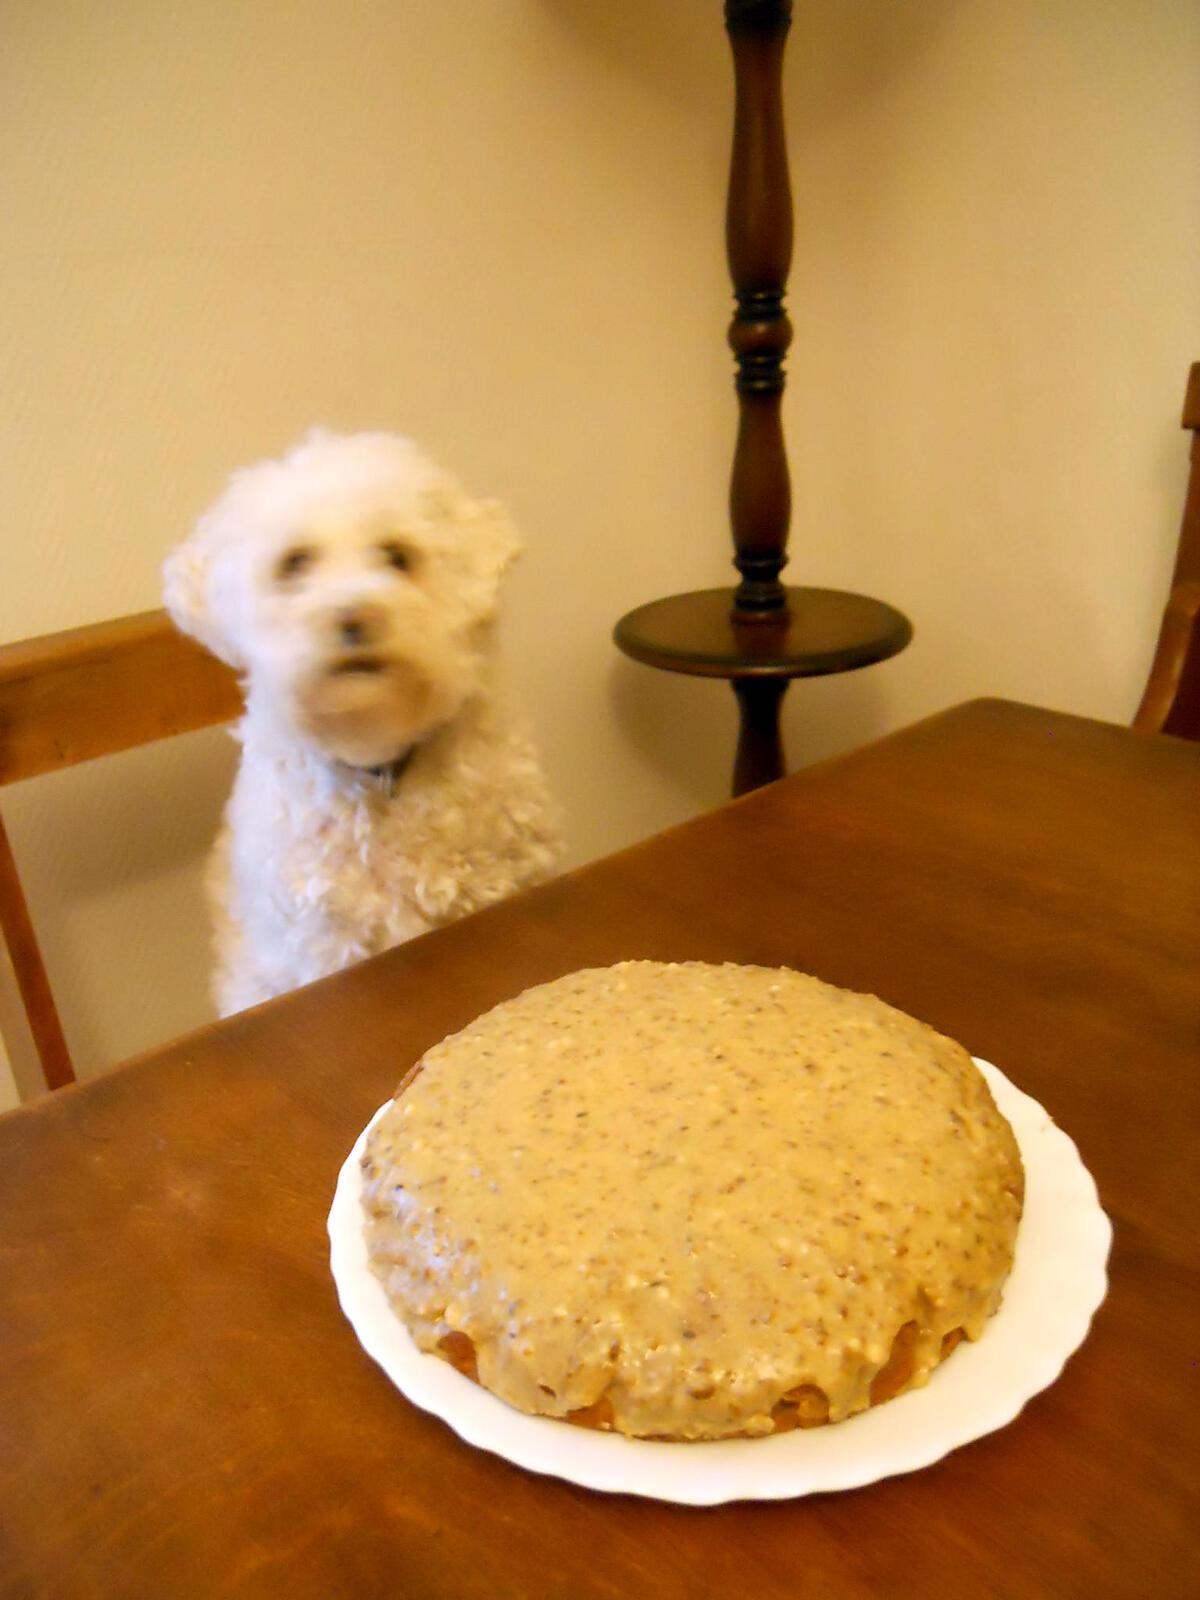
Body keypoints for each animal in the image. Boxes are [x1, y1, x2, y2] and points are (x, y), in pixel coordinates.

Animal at [160, 432, 569, 1017]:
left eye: (398, 555)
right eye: (294, 563)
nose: (354, 616)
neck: (380, 761)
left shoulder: (507, 877)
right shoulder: (326, 937)